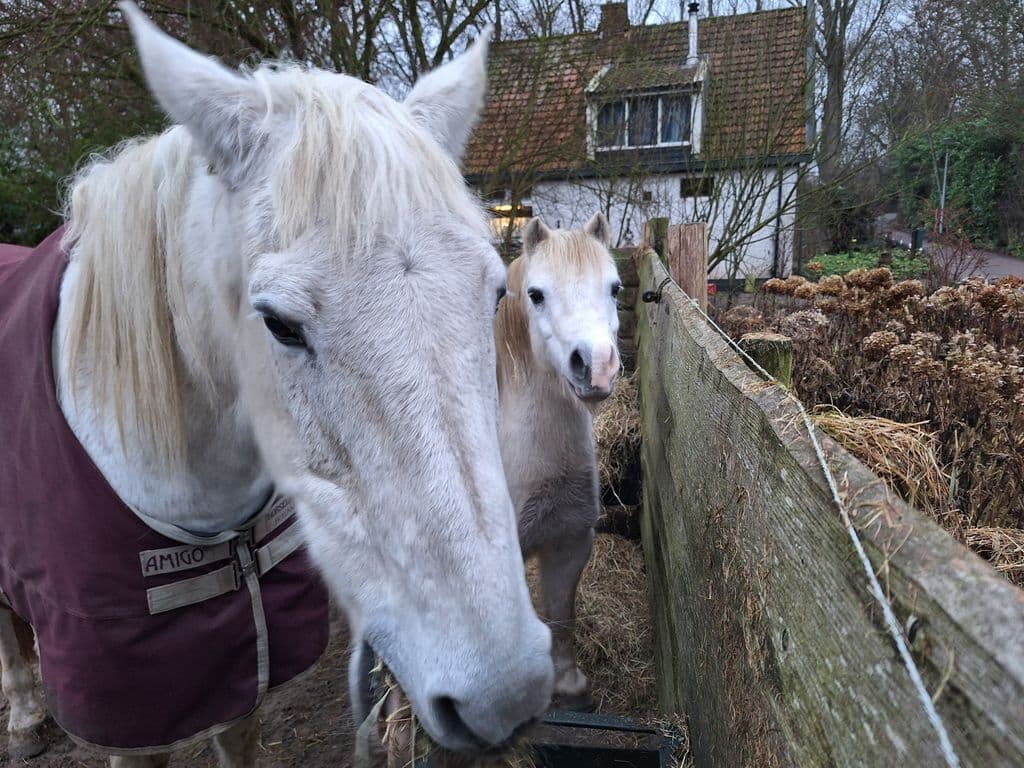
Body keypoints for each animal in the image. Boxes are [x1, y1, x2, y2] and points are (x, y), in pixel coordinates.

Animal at [0, 4, 553, 765]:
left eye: (495, 293)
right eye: (280, 324)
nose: (506, 693)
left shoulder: (243, 684)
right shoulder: (131, 722)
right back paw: (26, 714)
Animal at [494, 213, 622, 710]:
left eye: (615, 287)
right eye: (536, 294)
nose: (596, 366)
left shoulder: (570, 542)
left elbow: (561, 615)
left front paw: (567, 684)